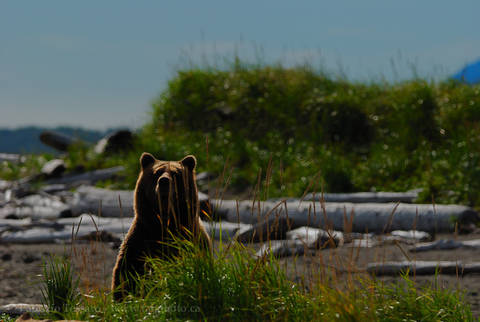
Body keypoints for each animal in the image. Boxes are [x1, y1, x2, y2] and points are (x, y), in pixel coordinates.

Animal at [112, 152, 212, 300]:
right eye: (157, 172)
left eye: (176, 173)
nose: (164, 181)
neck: (164, 224)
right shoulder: (140, 241)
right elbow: (127, 274)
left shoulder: (193, 243)